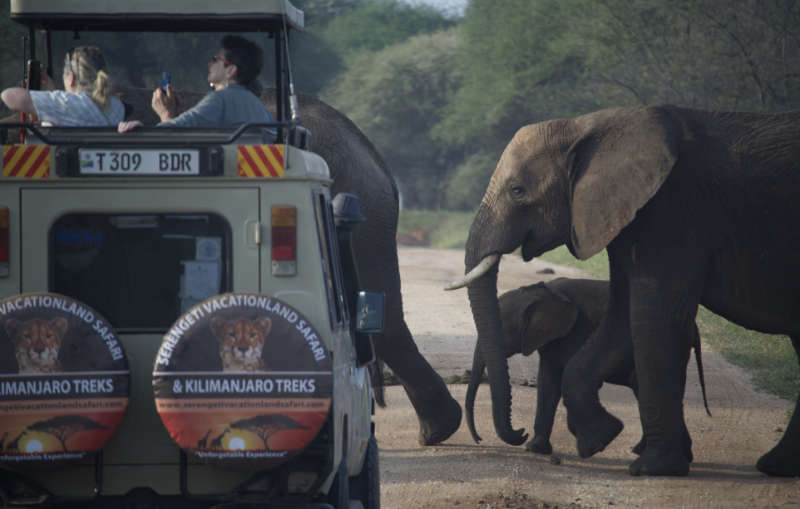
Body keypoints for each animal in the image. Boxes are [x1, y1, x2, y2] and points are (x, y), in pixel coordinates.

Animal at [466, 278, 708, 456]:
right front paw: (535, 449)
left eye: (503, 333)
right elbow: (548, 382)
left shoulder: (578, 330)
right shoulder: (553, 338)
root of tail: (695, 327)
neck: (540, 292)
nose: (520, 431)